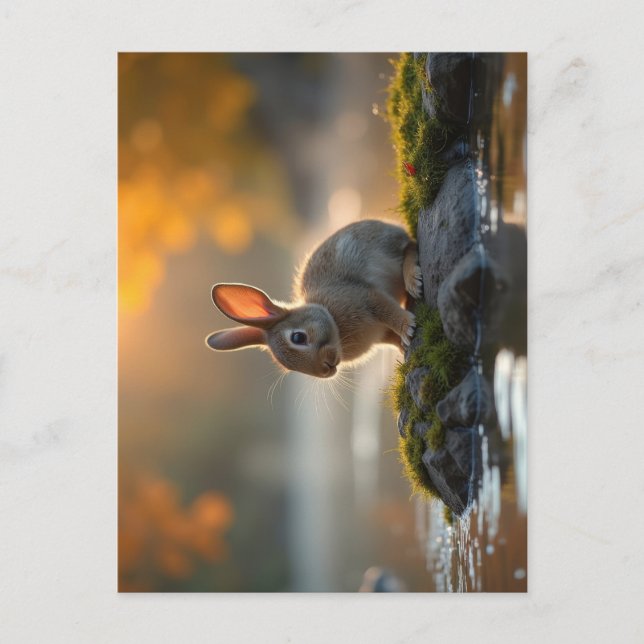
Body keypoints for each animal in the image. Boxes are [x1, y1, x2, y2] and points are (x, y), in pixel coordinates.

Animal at [205, 219, 422, 378]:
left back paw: (414, 280)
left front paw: (407, 326)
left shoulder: (364, 297)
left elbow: (387, 310)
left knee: (410, 246)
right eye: (290, 368)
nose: (326, 369)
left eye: (298, 337)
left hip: (386, 247)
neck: (333, 321)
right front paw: (403, 348)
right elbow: (392, 338)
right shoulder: (380, 335)